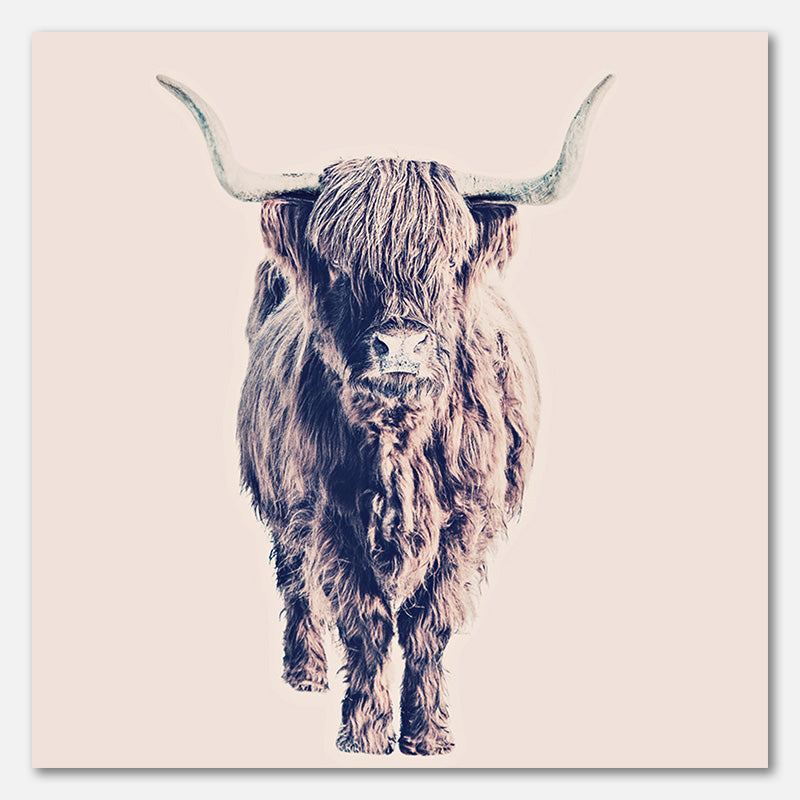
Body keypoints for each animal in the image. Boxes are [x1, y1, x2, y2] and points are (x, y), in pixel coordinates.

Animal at [158, 74, 613, 756]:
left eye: (447, 262)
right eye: (342, 267)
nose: (399, 346)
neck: (399, 438)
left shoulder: (465, 520)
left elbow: (428, 623)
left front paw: (427, 735)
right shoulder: (328, 511)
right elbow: (366, 620)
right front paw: (365, 734)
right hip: (279, 501)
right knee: (294, 578)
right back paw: (305, 672)